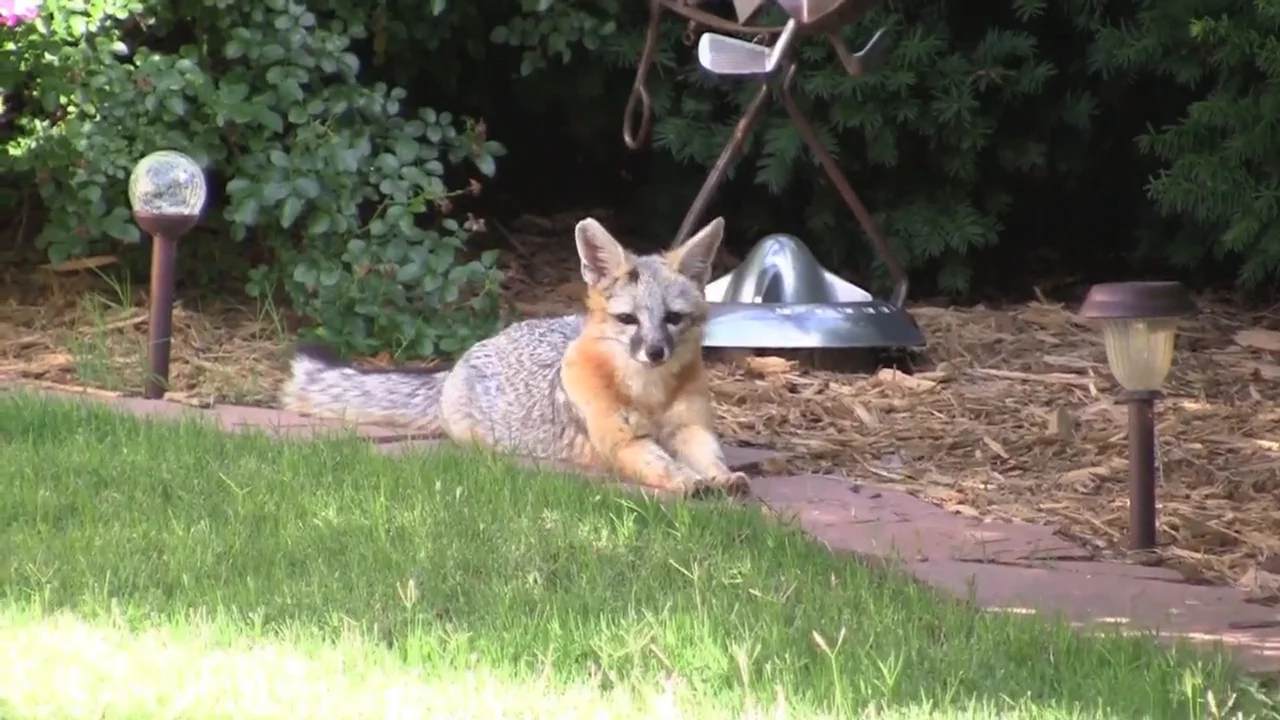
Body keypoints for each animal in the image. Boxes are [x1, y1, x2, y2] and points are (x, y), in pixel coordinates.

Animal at [280, 216, 749, 496]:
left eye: (673, 319)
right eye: (628, 320)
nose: (654, 352)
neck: (650, 395)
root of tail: (460, 361)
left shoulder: (692, 429)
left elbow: (711, 456)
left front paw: (722, 477)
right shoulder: (624, 443)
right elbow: (664, 467)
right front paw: (690, 481)